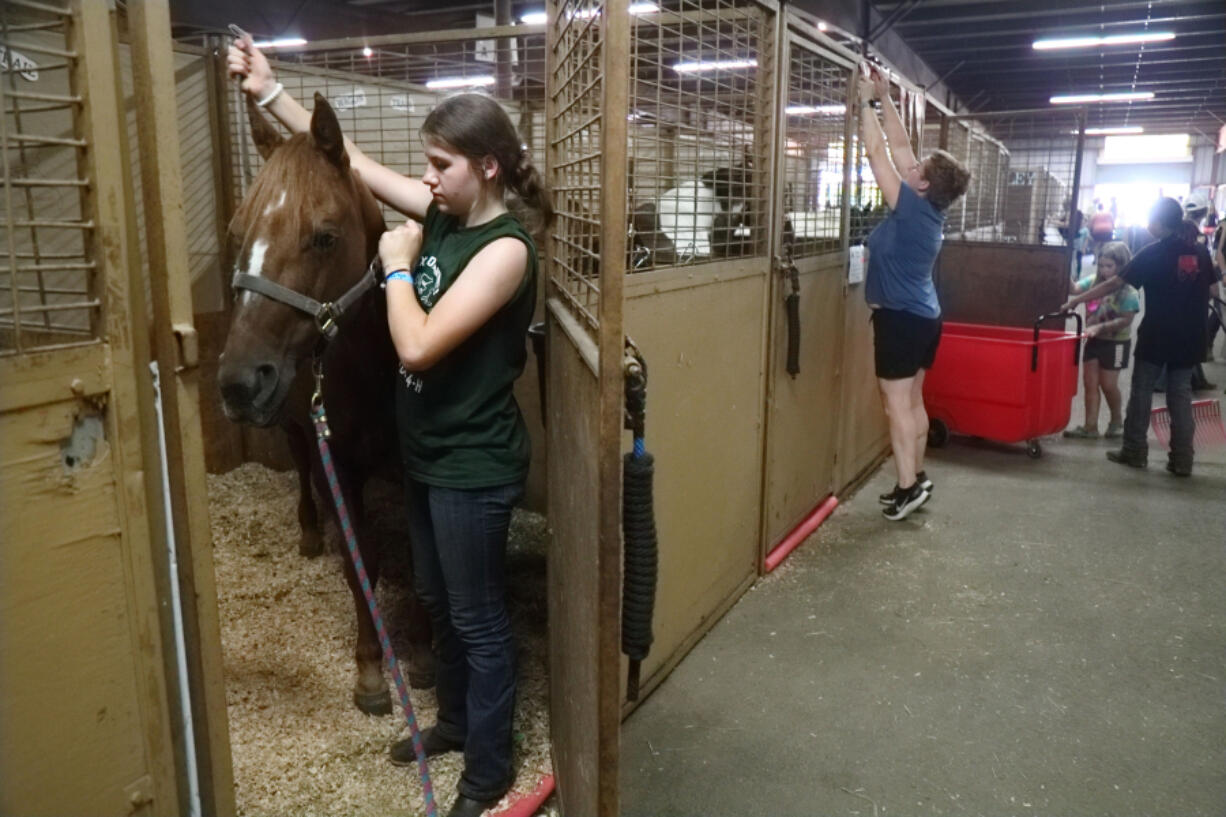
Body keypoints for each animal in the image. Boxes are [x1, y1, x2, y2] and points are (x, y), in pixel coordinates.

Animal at [218, 93, 434, 711]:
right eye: (235, 232)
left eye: (325, 237)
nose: (238, 383)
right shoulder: (337, 461)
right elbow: (362, 561)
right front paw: (371, 671)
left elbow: (423, 560)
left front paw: (427, 656)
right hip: (292, 426)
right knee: (301, 470)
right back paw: (313, 534)